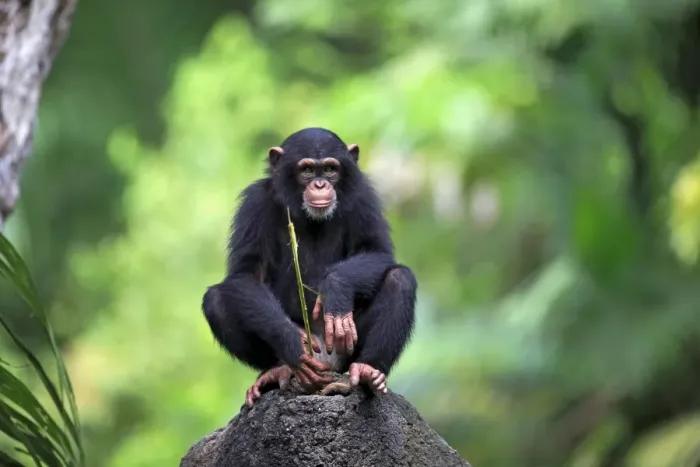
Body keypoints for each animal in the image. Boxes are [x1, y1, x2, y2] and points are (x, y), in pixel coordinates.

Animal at [202, 127, 417, 407]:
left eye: (330, 169)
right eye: (306, 170)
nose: (320, 184)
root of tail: (327, 364)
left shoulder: (364, 196)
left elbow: (377, 250)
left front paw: (335, 290)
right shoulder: (254, 202)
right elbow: (247, 272)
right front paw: (290, 341)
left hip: (344, 352)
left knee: (399, 279)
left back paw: (367, 371)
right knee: (215, 298)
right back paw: (278, 369)